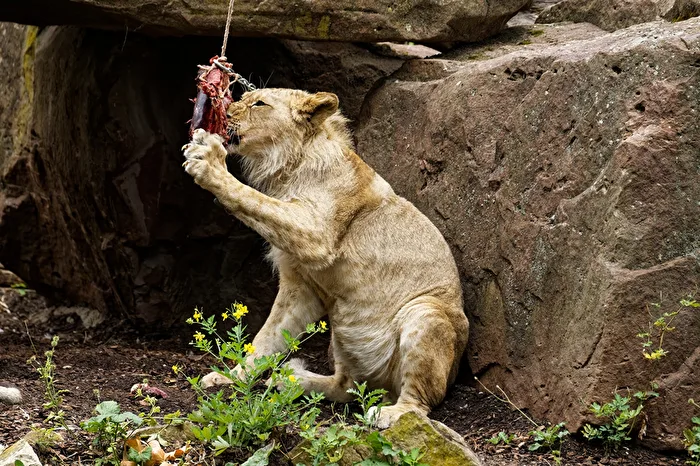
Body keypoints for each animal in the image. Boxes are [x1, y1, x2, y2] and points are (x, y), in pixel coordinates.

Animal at [182, 88, 468, 428]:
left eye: (259, 103)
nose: (225, 112)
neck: (287, 167)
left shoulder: (316, 235)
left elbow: (254, 200)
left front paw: (209, 161)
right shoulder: (300, 285)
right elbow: (267, 336)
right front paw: (231, 376)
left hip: (426, 312)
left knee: (419, 400)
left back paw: (391, 413)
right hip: (344, 333)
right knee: (345, 386)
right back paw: (291, 379)